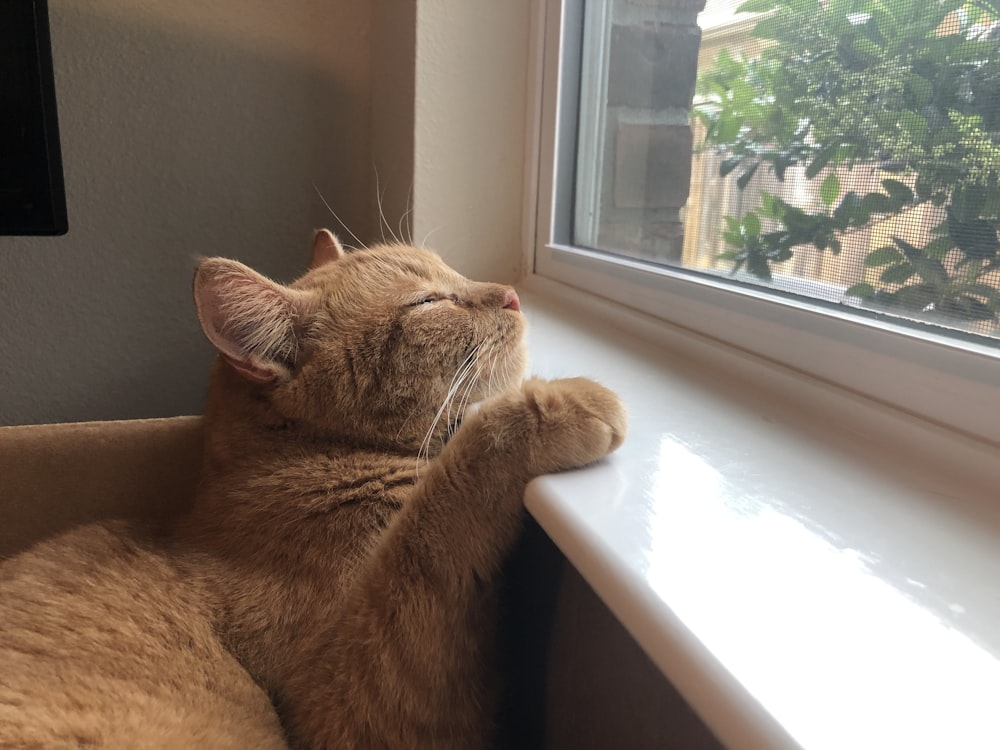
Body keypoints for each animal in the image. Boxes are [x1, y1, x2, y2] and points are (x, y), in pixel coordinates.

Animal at [0, 232, 624, 748]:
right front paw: (552, 406)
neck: (314, 461)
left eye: (453, 271)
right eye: (428, 302)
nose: (513, 295)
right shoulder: (344, 711)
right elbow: (432, 518)